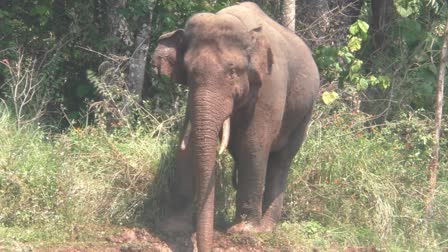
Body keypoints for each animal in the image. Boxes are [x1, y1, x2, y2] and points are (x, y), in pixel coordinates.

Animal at [152, 1, 320, 250]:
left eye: (232, 71)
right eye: (190, 72)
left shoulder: (270, 87)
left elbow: (254, 144)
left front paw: (244, 231)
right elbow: (188, 143)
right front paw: (173, 227)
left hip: (304, 113)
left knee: (282, 160)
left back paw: (266, 229)